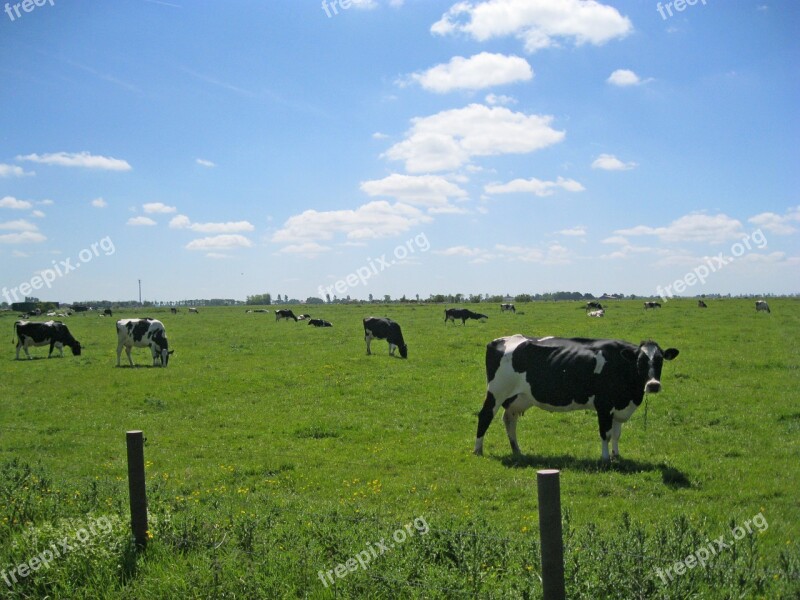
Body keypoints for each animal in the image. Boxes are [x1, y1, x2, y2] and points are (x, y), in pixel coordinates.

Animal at [476, 336, 680, 462]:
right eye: (640, 361)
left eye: (660, 360)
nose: (653, 385)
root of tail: (500, 340)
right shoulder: (604, 405)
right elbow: (605, 433)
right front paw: (605, 458)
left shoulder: (618, 406)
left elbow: (616, 434)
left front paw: (616, 456)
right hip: (496, 392)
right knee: (485, 416)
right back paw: (478, 450)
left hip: (518, 397)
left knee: (509, 419)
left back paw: (517, 450)